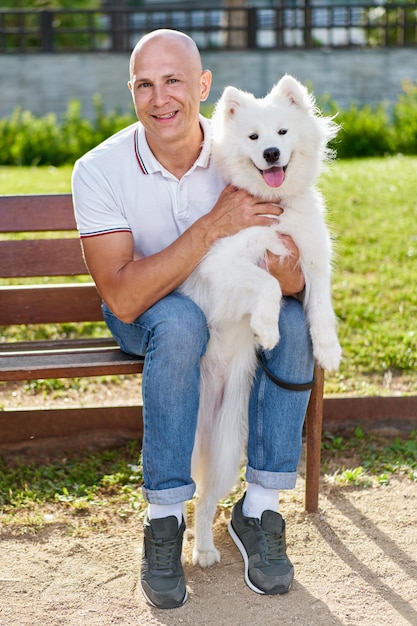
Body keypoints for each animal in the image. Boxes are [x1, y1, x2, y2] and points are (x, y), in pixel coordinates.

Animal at [180, 73, 340, 564]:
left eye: (282, 133)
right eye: (253, 138)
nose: (271, 153)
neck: (275, 205)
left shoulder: (312, 262)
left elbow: (320, 308)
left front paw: (328, 349)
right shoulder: (224, 265)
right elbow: (266, 283)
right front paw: (267, 329)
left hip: (229, 442)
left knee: (205, 499)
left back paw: (207, 550)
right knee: (188, 497)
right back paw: (198, 554)